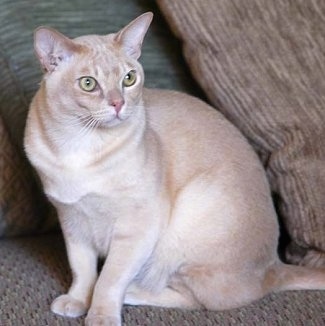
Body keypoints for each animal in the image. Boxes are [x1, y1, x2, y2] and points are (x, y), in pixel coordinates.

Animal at [24, 11, 324, 326]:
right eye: (88, 84)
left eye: (128, 78)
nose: (118, 104)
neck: (79, 146)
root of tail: (275, 266)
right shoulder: (72, 222)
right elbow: (82, 270)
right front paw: (77, 302)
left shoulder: (136, 226)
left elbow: (108, 279)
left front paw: (100, 315)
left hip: (187, 218)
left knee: (197, 300)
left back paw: (133, 292)